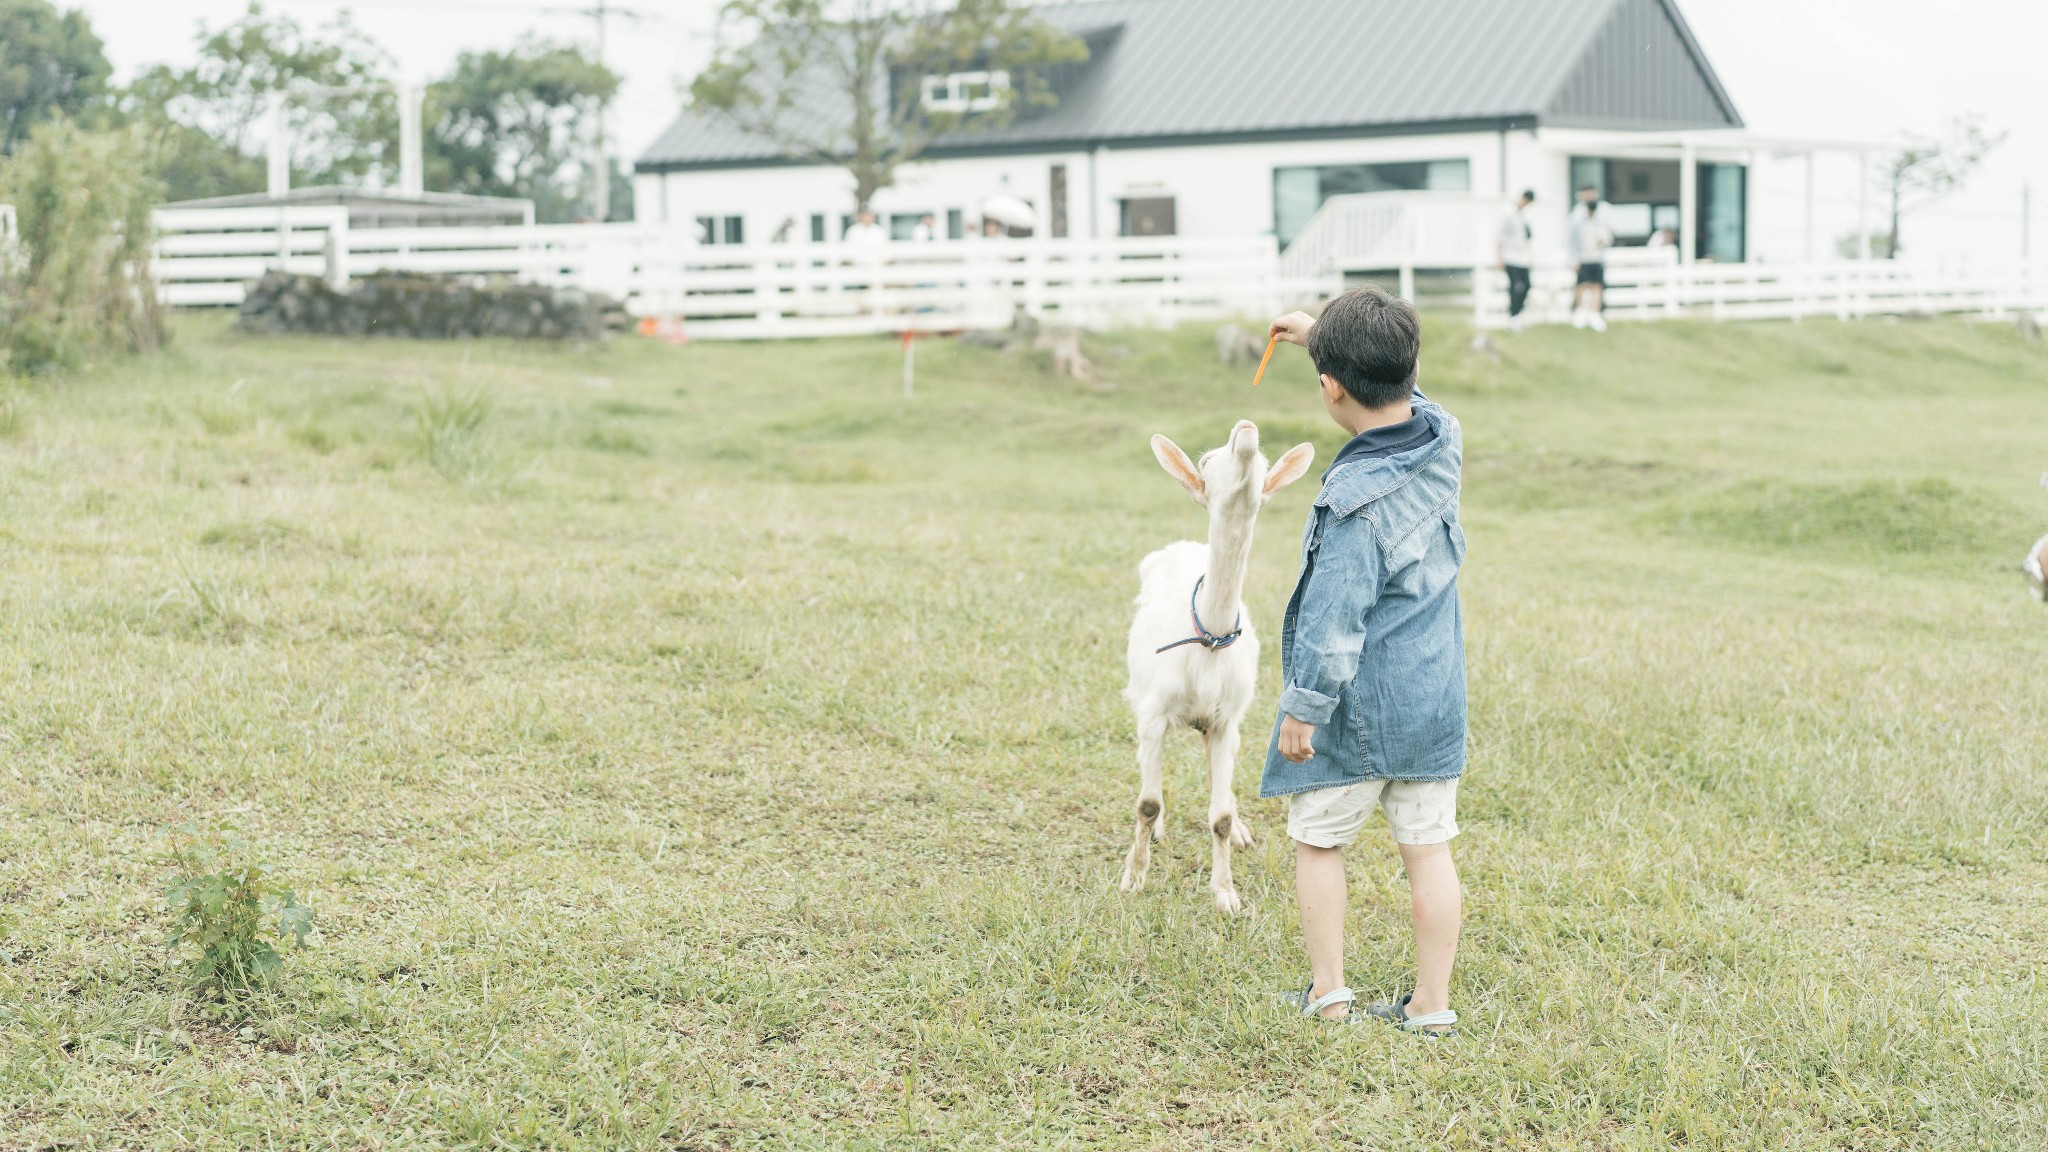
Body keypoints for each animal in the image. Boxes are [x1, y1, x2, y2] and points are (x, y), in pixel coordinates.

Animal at [1122, 416, 1310, 910]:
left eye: (1262, 462)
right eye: (1206, 462)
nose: (1245, 428)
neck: (1208, 638)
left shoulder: (1227, 718)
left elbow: (1220, 815)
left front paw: (1225, 892)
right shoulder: (1154, 711)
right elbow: (1147, 803)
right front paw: (1134, 877)